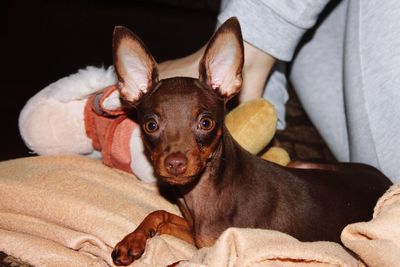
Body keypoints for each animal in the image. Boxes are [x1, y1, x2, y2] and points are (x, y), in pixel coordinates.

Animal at [109, 17, 390, 266]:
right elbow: (160, 213)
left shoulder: (222, 249)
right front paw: (131, 241)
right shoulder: (199, 235)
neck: (203, 192)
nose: (175, 163)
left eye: (206, 123)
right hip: (303, 164)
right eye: (151, 125)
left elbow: (175, 262)